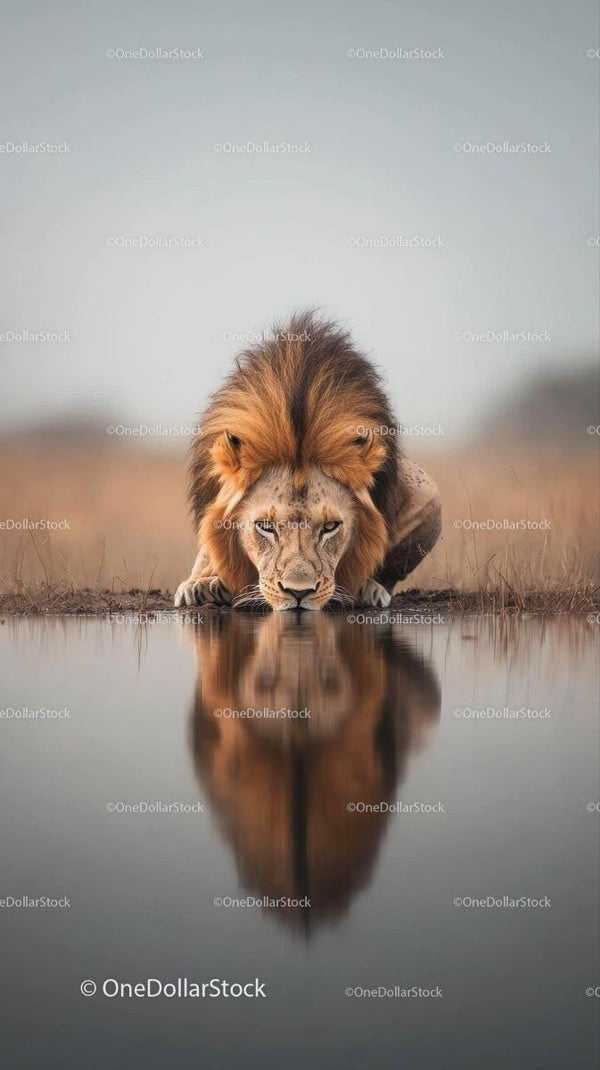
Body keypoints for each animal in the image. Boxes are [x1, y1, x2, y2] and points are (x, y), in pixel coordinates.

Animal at [175, 311, 441, 610]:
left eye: (330, 527)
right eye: (265, 527)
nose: (298, 592)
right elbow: (210, 544)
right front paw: (202, 583)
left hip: (427, 492)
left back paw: (371, 590)